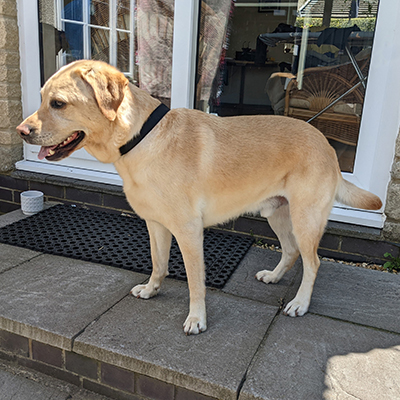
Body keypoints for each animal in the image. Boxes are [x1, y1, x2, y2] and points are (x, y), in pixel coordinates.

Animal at [17, 60, 382, 334]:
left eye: (58, 103)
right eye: (42, 98)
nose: (21, 131)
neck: (140, 139)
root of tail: (326, 143)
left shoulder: (189, 231)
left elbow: (195, 281)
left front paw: (197, 319)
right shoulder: (155, 224)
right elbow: (158, 263)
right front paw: (152, 289)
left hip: (305, 219)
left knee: (313, 262)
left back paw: (300, 304)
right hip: (276, 213)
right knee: (291, 252)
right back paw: (274, 276)